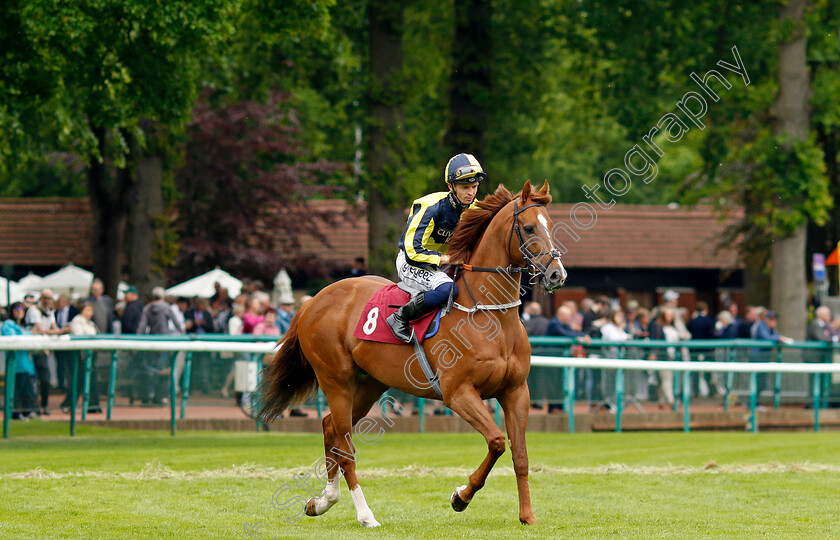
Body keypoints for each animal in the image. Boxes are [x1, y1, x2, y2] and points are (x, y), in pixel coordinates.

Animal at [260, 179, 568, 524]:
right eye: (528, 228)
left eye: (550, 224)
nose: (557, 274)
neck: (491, 318)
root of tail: (313, 300)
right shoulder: (458, 393)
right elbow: (497, 442)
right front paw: (460, 496)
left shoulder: (516, 391)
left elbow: (521, 455)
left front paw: (527, 516)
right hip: (335, 378)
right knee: (347, 447)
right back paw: (365, 515)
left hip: (369, 383)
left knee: (330, 429)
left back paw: (324, 500)